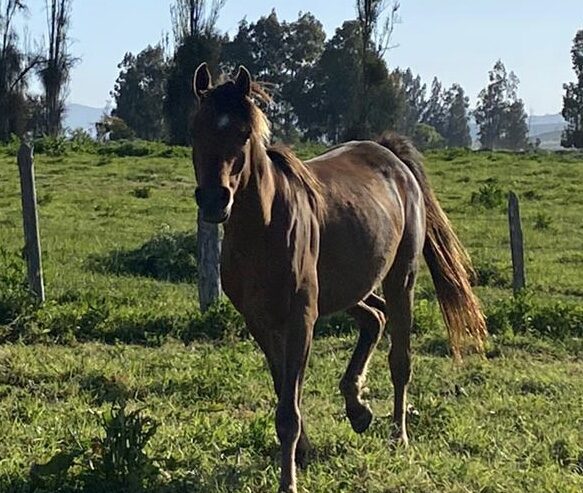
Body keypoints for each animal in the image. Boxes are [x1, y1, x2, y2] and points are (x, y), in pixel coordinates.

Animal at [189, 62, 486, 492]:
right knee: (374, 317)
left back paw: (397, 435)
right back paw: (358, 408)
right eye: (196, 130)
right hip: (347, 289)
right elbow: (284, 393)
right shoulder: (260, 322)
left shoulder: (301, 319)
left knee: (400, 358)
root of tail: (391, 158)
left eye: (243, 133)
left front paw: (289, 480)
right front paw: (304, 453)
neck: (263, 227)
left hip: (400, 279)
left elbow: (288, 411)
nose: (214, 201)